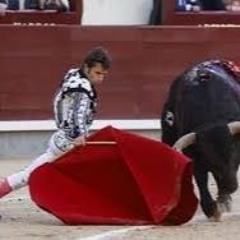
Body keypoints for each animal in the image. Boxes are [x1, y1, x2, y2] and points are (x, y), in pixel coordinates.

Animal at [161, 60, 240, 221]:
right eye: (208, 156)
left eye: (234, 150)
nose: (231, 186)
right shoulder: (195, 155)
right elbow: (201, 178)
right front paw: (211, 209)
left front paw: (222, 201)